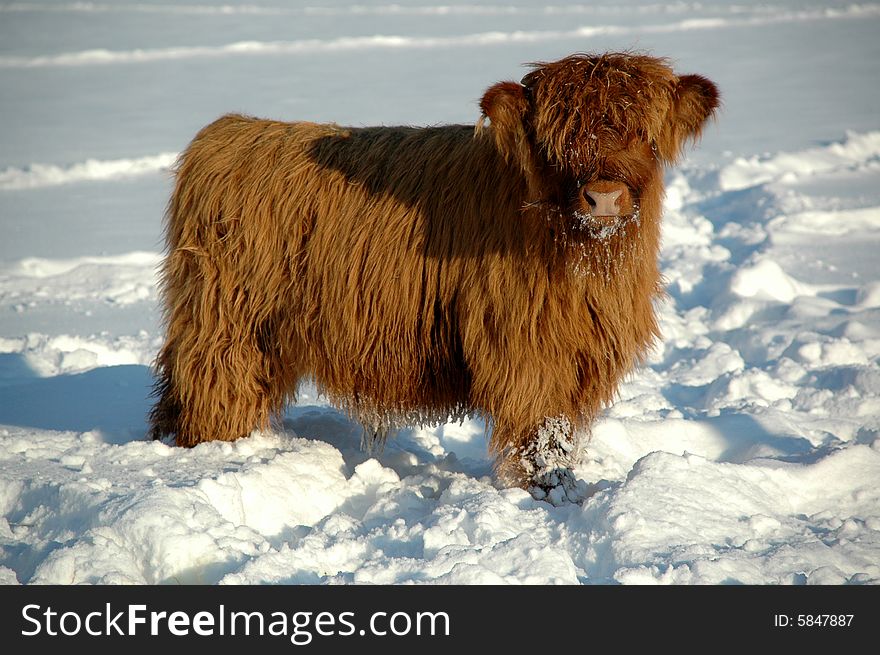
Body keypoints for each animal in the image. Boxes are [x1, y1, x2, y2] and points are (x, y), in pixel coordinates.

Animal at [150, 52, 716, 492]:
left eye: (643, 134)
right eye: (556, 138)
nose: (603, 197)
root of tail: (227, 131)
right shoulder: (526, 347)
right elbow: (540, 430)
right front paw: (551, 492)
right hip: (227, 320)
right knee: (214, 384)